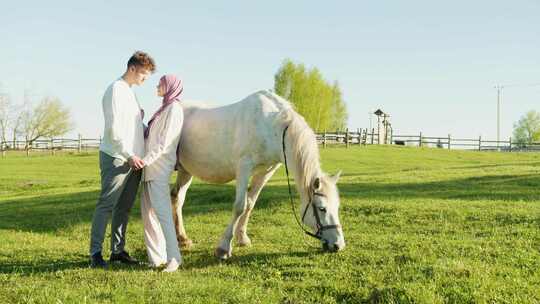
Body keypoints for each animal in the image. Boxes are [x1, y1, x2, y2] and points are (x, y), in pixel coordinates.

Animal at [171, 90, 344, 258]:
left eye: (337, 206)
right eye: (322, 208)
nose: (338, 245)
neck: (272, 126)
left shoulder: (265, 173)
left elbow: (250, 204)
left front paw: (242, 238)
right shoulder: (244, 168)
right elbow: (239, 206)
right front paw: (224, 247)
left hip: (185, 171)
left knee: (177, 198)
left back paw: (182, 238)